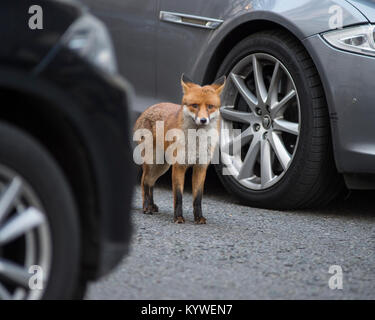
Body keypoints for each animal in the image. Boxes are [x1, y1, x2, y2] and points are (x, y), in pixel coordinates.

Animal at [134, 74, 226, 225]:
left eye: (210, 106)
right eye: (195, 105)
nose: (203, 120)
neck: (196, 141)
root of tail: (148, 108)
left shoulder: (201, 167)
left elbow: (198, 198)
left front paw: (199, 218)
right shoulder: (179, 166)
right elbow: (178, 196)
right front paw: (178, 217)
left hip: (162, 166)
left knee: (150, 182)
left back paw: (152, 205)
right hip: (153, 162)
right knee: (144, 182)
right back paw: (146, 207)